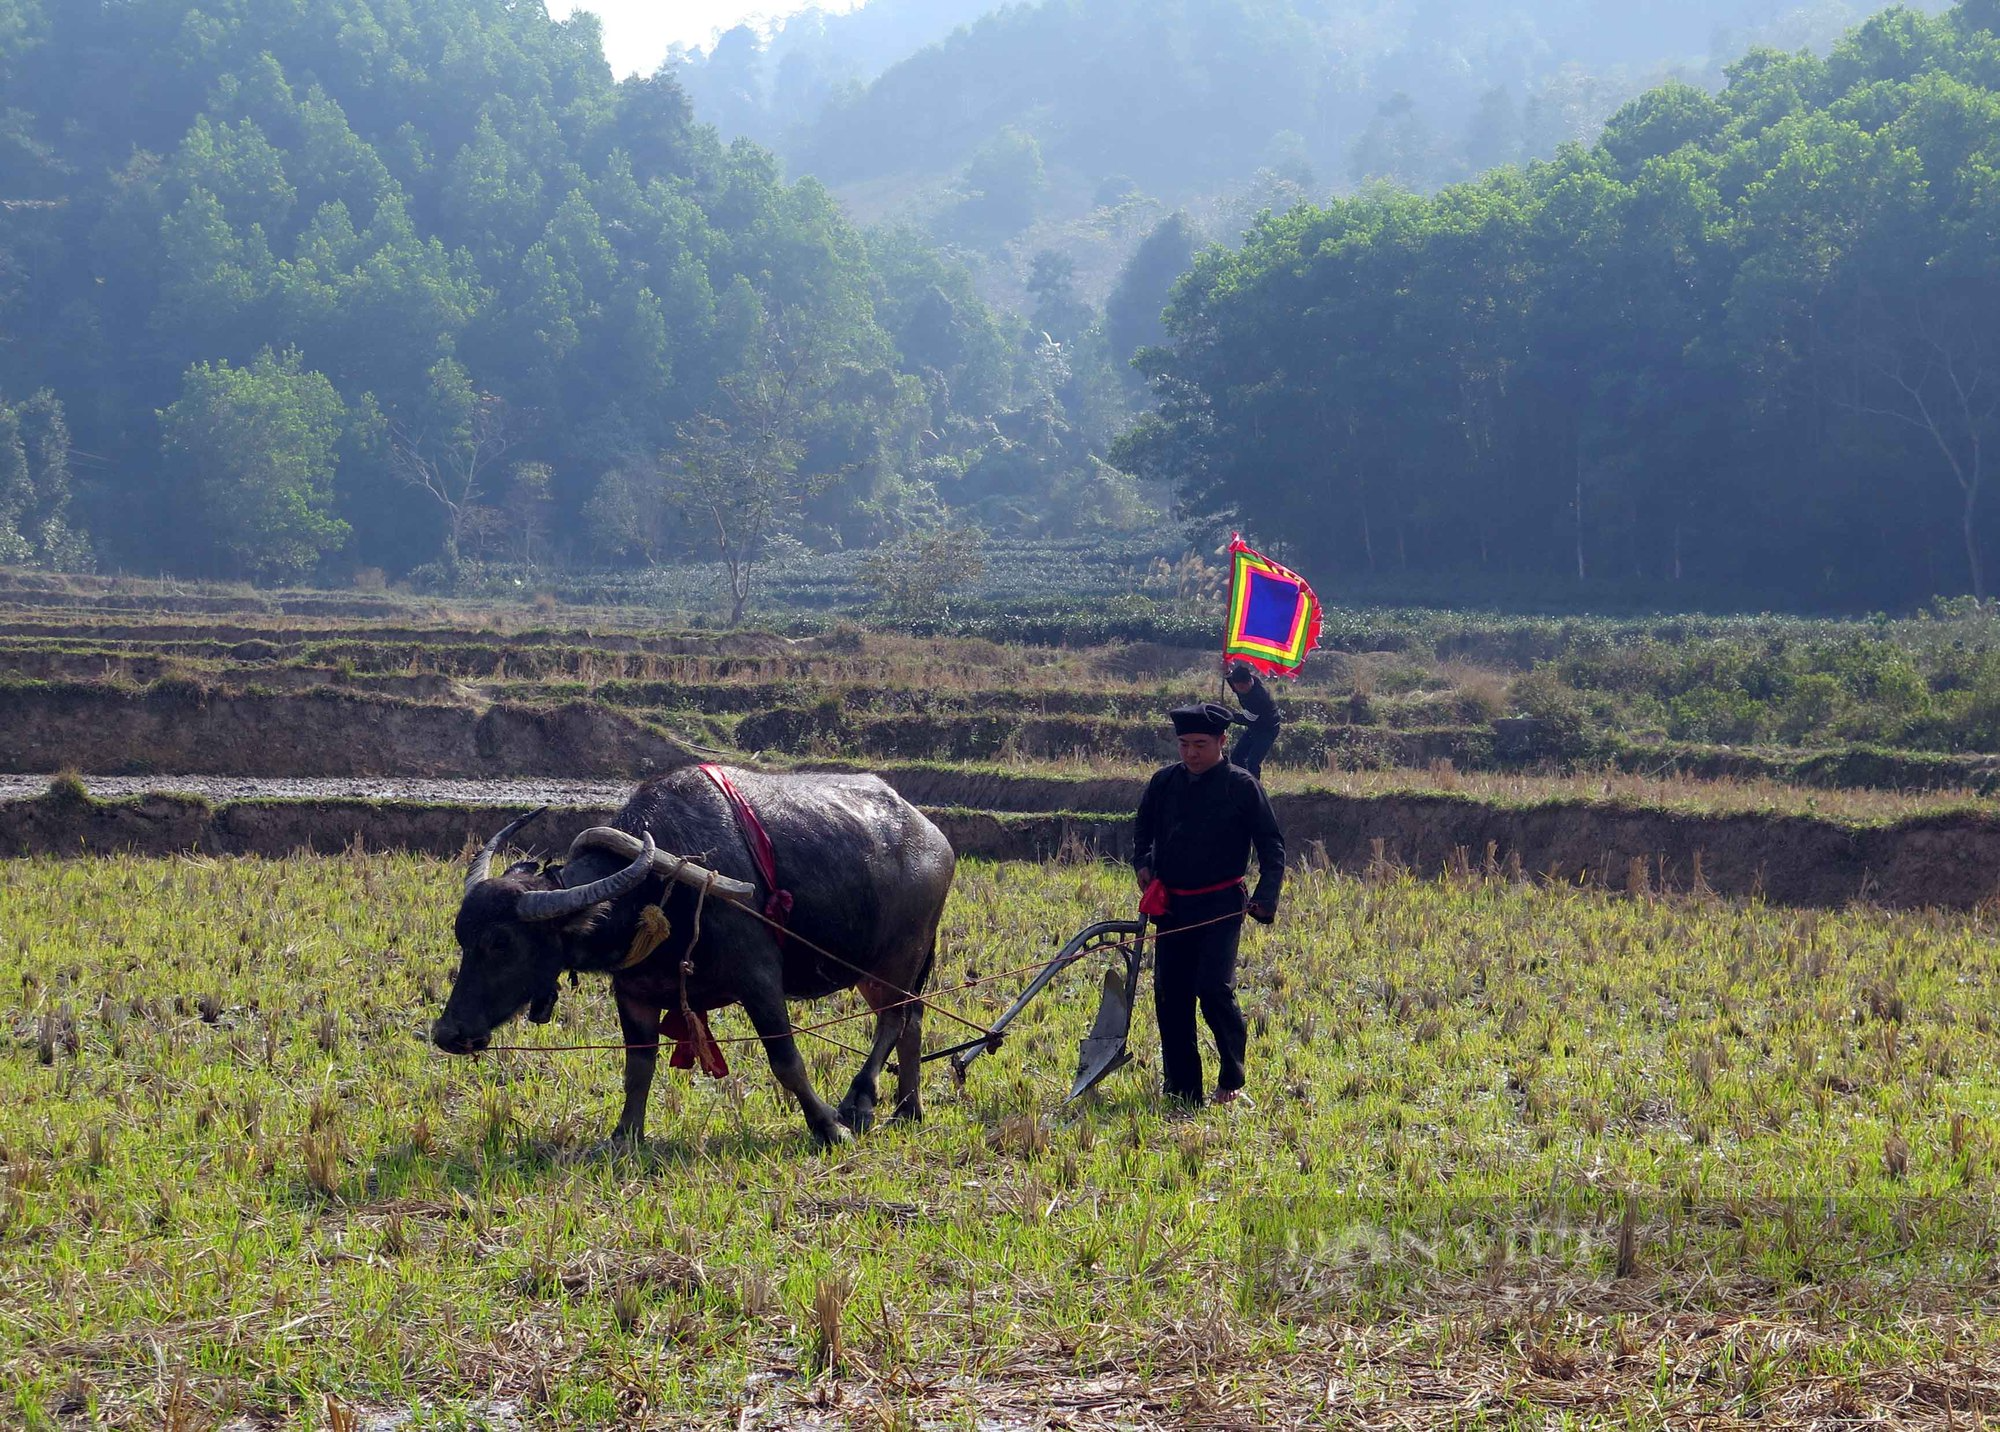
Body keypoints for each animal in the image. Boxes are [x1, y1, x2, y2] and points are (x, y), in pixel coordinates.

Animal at [436, 768, 960, 1144]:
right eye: (464, 937)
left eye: (502, 943)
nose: (447, 1034)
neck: (657, 890)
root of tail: (934, 837)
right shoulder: (634, 994)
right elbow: (637, 1069)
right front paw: (624, 1135)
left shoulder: (759, 979)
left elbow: (787, 1060)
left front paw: (828, 1127)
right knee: (912, 1020)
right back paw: (908, 1108)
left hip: (899, 957)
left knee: (894, 1020)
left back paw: (860, 1102)